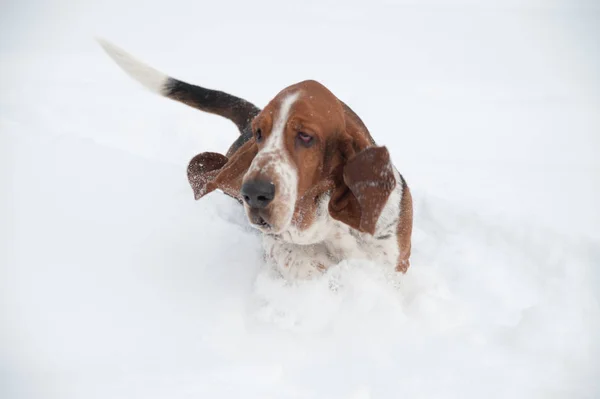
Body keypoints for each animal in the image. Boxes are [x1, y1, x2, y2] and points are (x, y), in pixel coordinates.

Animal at [98, 39, 412, 280]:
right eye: (261, 133)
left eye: (306, 136)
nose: (253, 193)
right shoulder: (283, 245)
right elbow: (299, 261)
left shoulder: (392, 263)